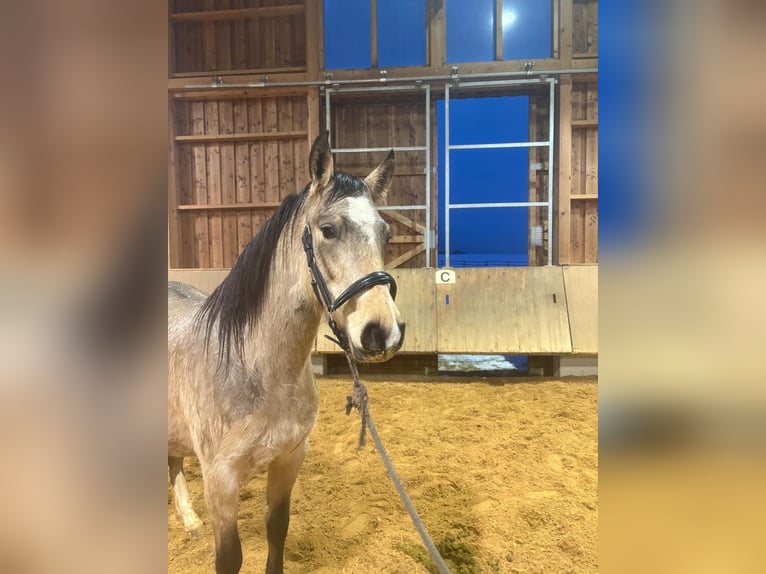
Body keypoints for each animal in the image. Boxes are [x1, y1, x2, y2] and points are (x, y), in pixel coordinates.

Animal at [168, 132, 405, 574]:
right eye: (328, 229)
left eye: (385, 235)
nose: (383, 331)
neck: (257, 369)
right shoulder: (220, 481)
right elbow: (229, 557)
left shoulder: (289, 460)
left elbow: (277, 529)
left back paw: (189, 521)